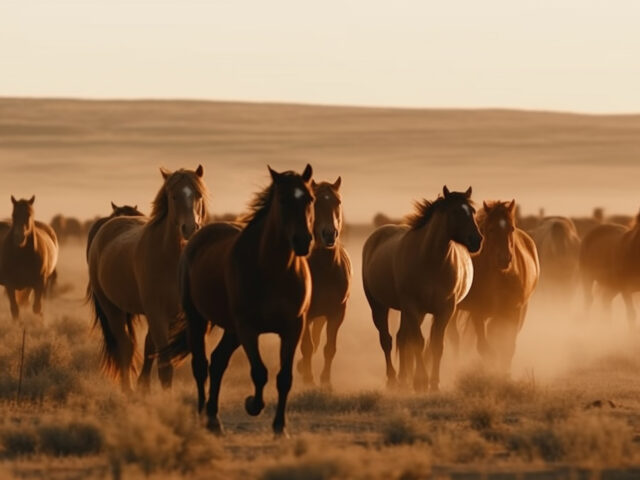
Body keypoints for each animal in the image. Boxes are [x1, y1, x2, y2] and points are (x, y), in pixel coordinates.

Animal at [87, 166, 207, 392]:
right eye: (173, 196)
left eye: (198, 195)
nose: (190, 228)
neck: (169, 258)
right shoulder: (156, 312)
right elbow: (165, 366)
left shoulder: (172, 314)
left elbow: (152, 348)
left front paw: (145, 386)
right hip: (111, 308)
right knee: (124, 346)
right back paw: (127, 390)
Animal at [166, 164, 314, 436]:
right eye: (283, 199)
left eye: (309, 198)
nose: (303, 241)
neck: (274, 271)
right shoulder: (248, 329)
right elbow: (259, 372)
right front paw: (252, 404)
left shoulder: (293, 328)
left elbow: (284, 378)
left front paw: (280, 427)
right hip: (199, 320)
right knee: (201, 366)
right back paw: (202, 416)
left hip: (231, 330)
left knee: (217, 362)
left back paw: (213, 419)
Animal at [297, 177, 351, 387]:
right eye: (315, 203)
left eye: (338, 202)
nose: (329, 234)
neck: (325, 270)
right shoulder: (305, 314)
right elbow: (307, 346)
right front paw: (309, 379)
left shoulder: (336, 313)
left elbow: (328, 347)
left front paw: (325, 381)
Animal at [362, 186, 482, 391]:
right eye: (455, 211)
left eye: (473, 211)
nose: (476, 240)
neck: (431, 261)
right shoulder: (412, 306)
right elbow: (418, 342)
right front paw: (420, 381)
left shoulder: (444, 310)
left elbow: (436, 344)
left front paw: (434, 383)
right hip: (379, 306)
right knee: (387, 339)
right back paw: (393, 379)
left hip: (414, 312)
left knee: (402, 337)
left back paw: (404, 379)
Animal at [450, 201, 539, 371]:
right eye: (490, 229)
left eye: (511, 228)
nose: (504, 258)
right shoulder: (477, 311)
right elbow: (485, 347)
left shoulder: (513, 311)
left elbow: (506, 346)